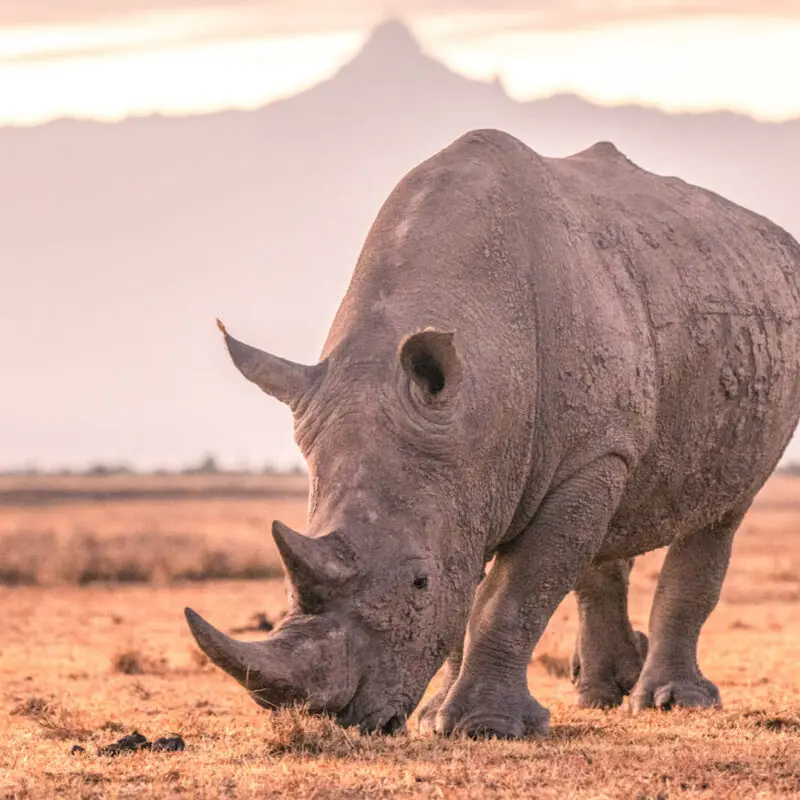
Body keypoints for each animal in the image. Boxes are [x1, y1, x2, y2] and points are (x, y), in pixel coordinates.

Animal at [186, 129, 800, 739]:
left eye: (419, 583)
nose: (340, 719)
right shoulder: (467, 462)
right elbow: (472, 589)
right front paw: (436, 716)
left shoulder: (583, 456)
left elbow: (513, 592)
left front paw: (486, 727)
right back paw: (601, 694)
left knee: (722, 511)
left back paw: (671, 703)